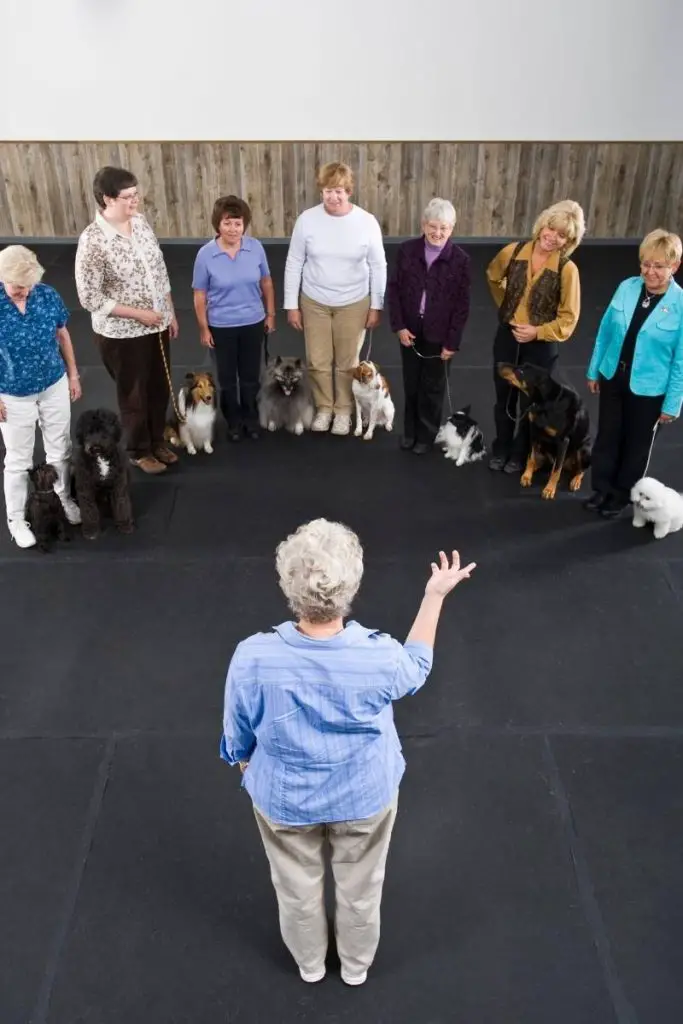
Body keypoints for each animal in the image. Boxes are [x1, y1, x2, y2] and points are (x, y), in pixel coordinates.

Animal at [73, 407, 135, 540]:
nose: (95, 445)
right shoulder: (85, 488)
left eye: (105, 429)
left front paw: (125, 524)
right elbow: (88, 510)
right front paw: (91, 530)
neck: (100, 458)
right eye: (89, 431)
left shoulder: (119, 485)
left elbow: (122, 505)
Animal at [497, 364, 593, 499]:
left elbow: (556, 470)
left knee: (579, 469)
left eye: (520, 371)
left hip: (583, 450)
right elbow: (531, 457)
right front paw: (527, 476)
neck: (545, 402)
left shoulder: (563, 441)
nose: (499, 364)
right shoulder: (534, 431)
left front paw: (549, 489)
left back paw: (575, 481)